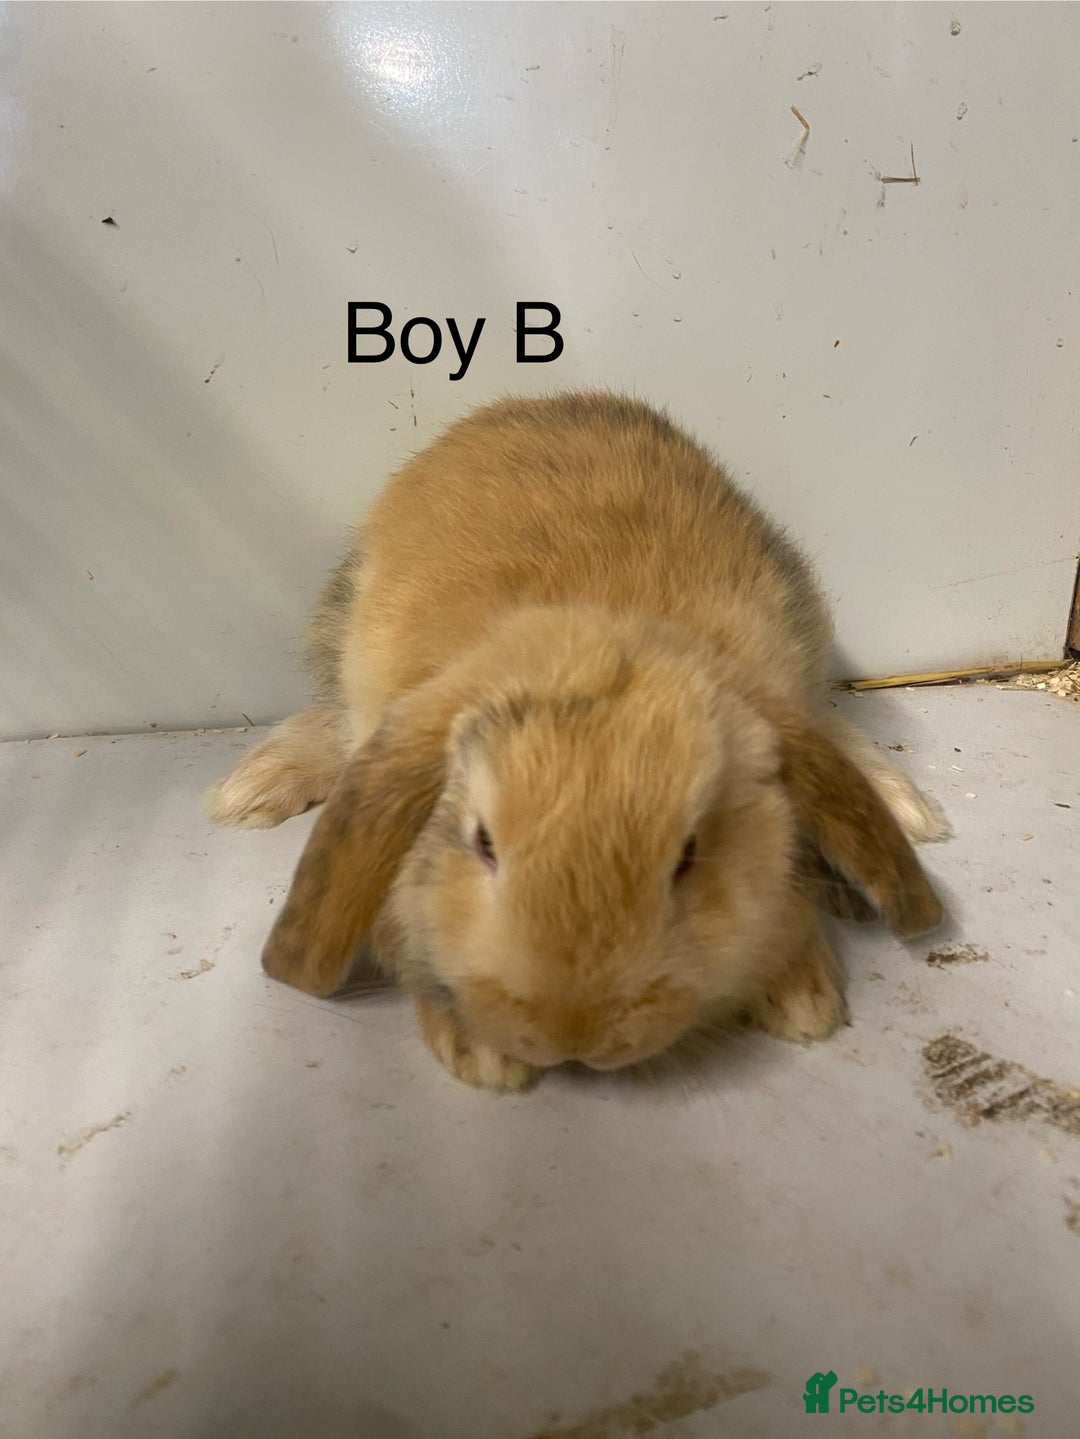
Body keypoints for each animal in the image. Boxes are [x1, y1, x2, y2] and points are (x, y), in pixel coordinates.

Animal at [204, 391, 948, 1091]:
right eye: (483, 844)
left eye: (689, 854)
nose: (574, 1038)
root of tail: (530, 405)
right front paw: (479, 1053)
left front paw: (803, 996)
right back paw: (251, 788)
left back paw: (906, 810)